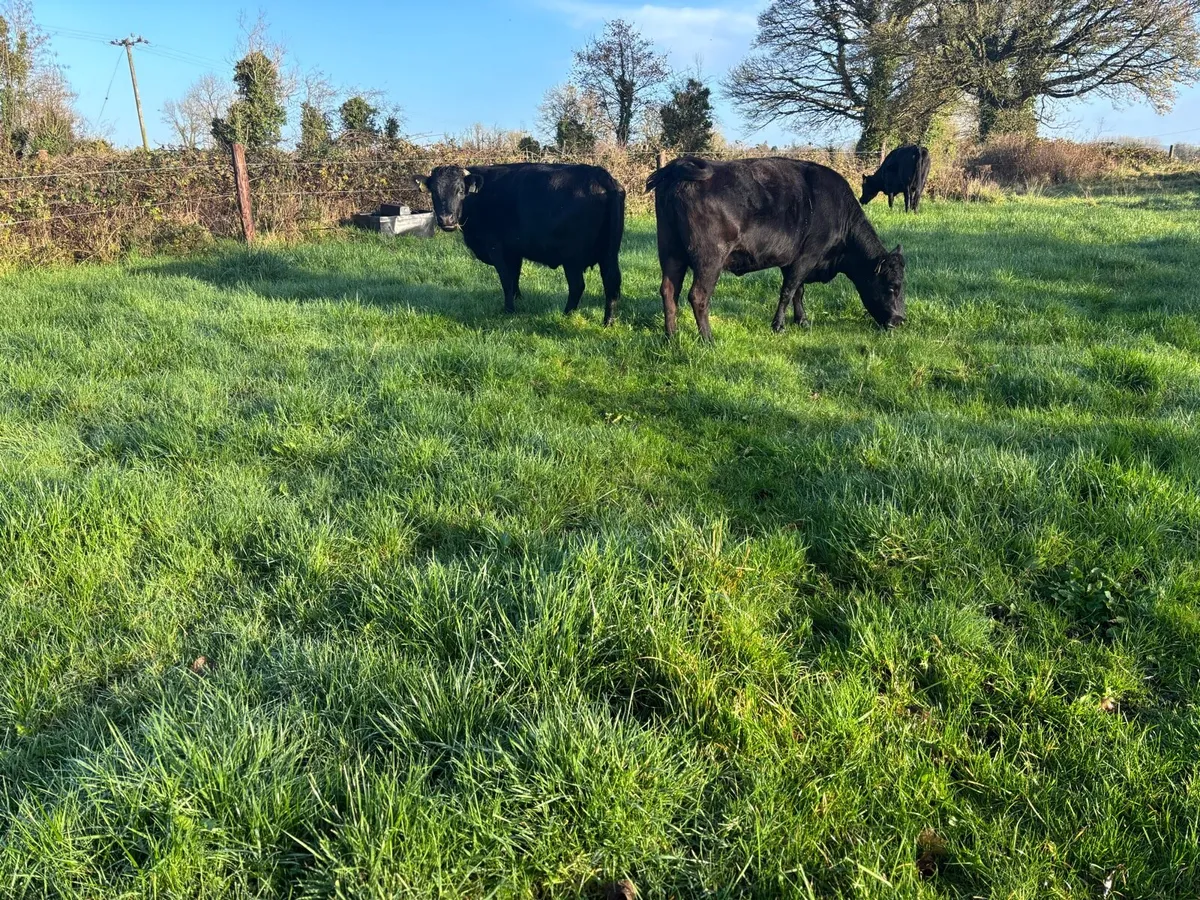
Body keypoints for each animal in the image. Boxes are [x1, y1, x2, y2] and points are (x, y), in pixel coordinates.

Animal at [413, 163, 625, 324]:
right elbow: (515, 277)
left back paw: (567, 314)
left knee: (577, 286)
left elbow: (506, 280)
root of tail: (599, 174)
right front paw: (518, 299)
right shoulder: (514, 251)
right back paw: (608, 321)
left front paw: (509, 309)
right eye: (434, 192)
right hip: (609, 253)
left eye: (460, 191)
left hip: (572, 257)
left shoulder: (496, 248)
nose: (446, 220)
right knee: (612, 282)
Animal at [645, 156, 906, 340]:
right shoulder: (807, 256)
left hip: (670, 251)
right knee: (698, 295)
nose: (900, 320)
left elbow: (798, 291)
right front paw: (779, 325)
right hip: (709, 258)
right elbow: (788, 291)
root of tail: (679, 166)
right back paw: (708, 339)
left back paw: (671, 336)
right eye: (892, 286)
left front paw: (802, 321)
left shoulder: (791, 260)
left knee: (669, 291)